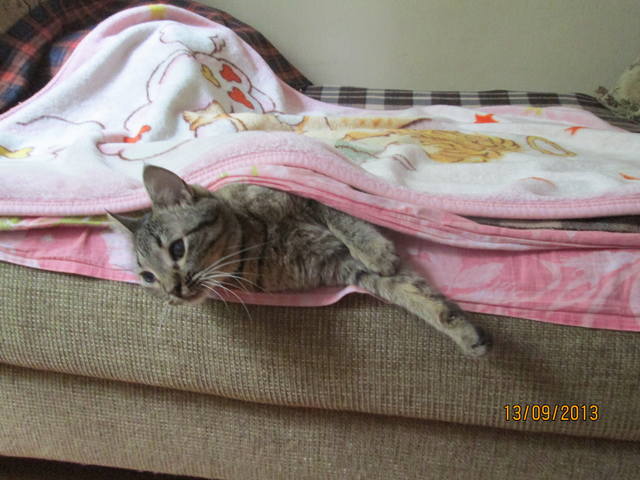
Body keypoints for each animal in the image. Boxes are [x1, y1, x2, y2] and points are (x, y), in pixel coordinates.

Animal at [108, 165, 490, 357]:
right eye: (147, 277)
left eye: (177, 249)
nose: (171, 292)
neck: (254, 250)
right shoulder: (345, 267)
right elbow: (412, 293)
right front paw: (462, 331)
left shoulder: (311, 198)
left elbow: (346, 219)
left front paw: (378, 250)